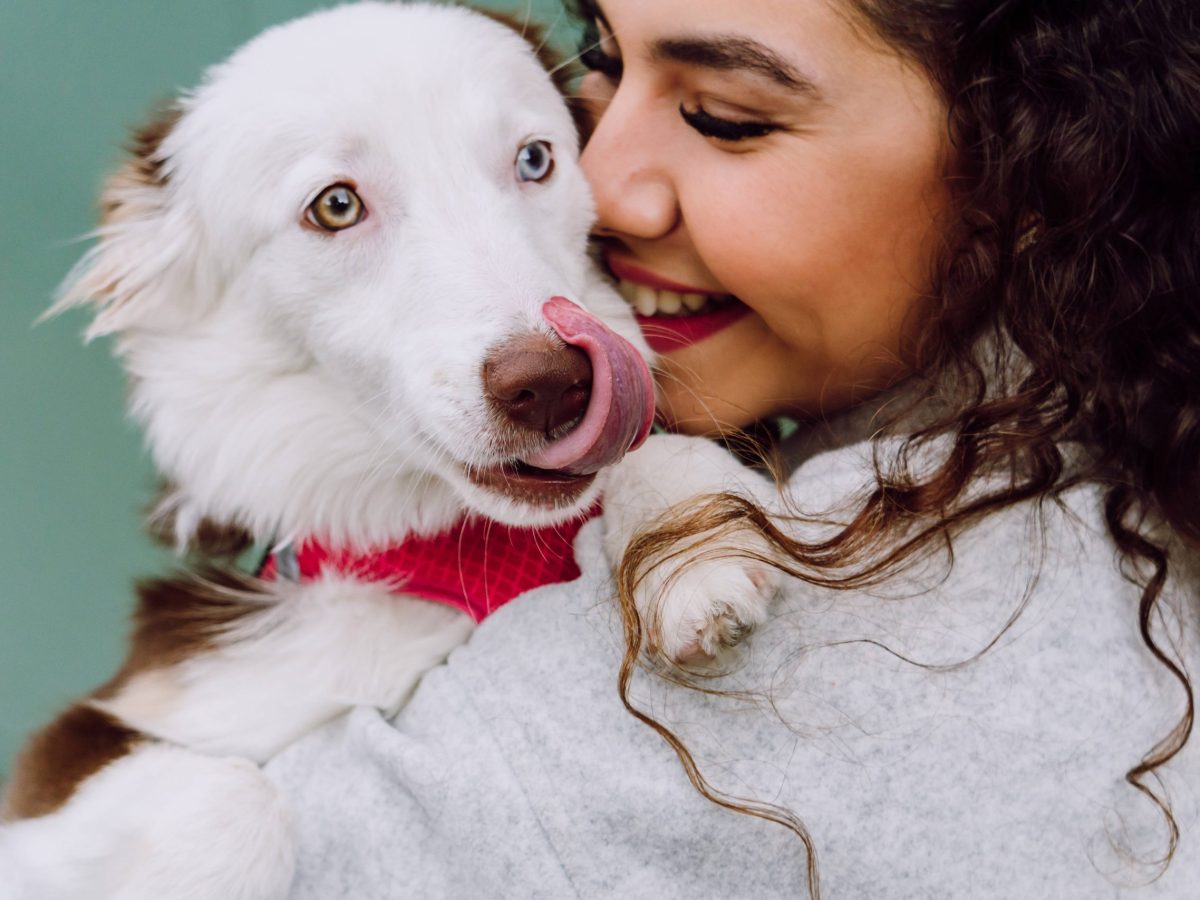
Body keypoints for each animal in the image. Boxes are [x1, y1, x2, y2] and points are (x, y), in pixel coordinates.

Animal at [0, 3, 777, 897]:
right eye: (336, 205)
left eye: (535, 159)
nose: (554, 385)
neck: (448, 553)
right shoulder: (116, 725)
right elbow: (234, 797)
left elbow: (651, 451)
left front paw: (692, 547)